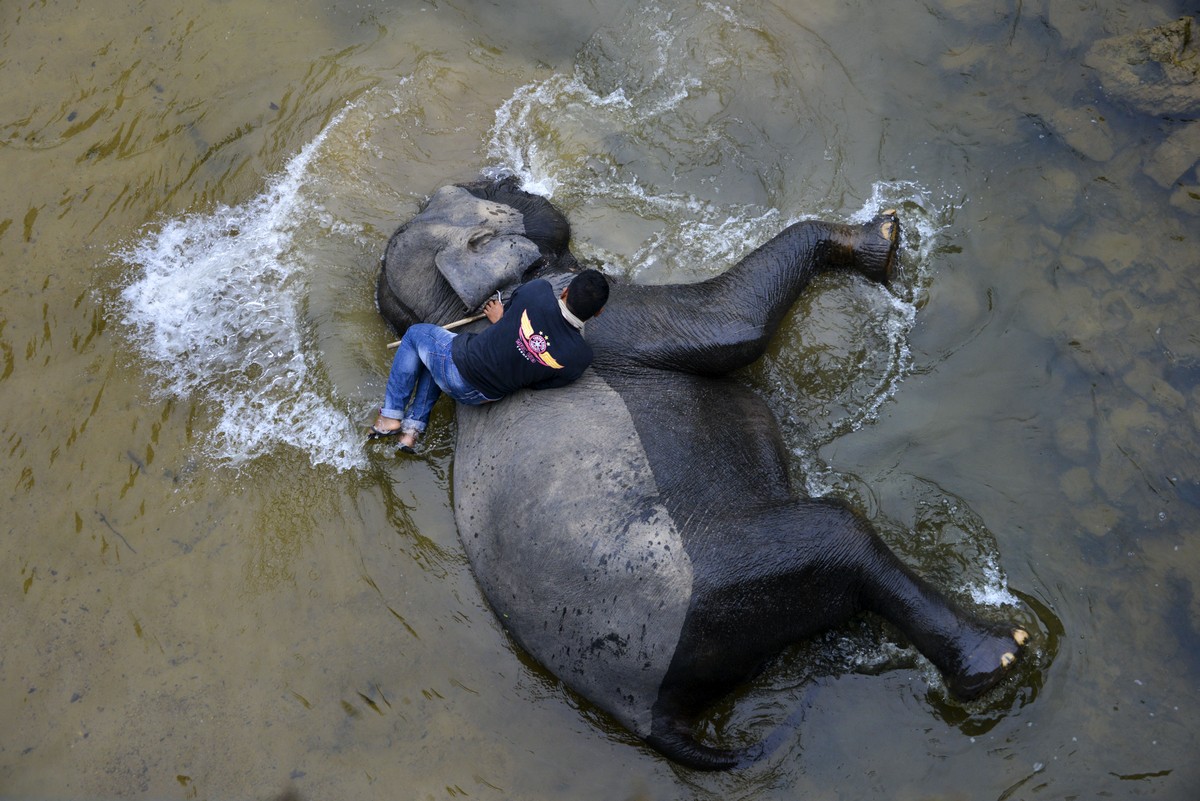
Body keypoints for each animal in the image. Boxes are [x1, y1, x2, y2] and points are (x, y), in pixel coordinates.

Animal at [374, 176, 1032, 767]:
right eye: (487, 195)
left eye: (458, 192)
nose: (508, 175)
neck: (463, 313)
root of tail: (651, 720)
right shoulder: (606, 317)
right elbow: (734, 325)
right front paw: (885, 234)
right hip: (724, 585)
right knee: (838, 535)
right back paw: (1001, 655)